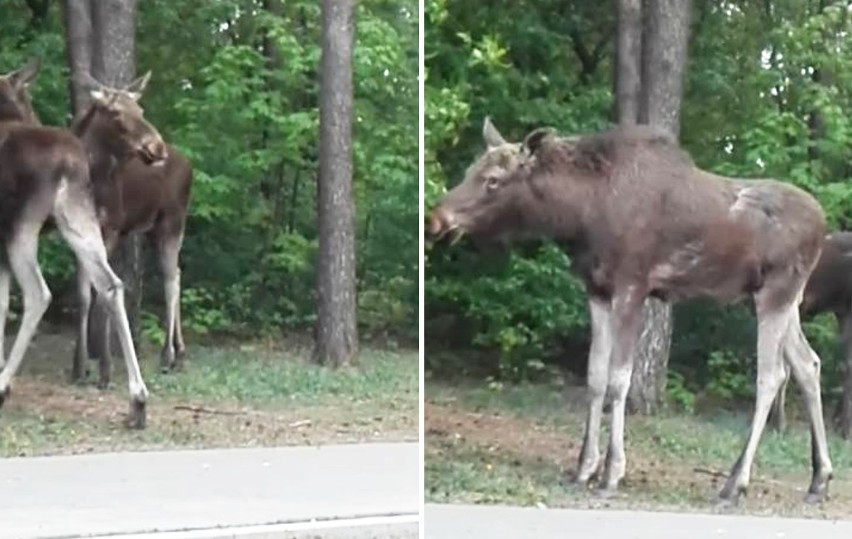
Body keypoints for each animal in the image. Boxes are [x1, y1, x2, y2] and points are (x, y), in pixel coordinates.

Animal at [430, 118, 828, 506]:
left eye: (493, 180)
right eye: (469, 170)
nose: (436, 219)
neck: (578, 216)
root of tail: (823, 226)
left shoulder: (632, 288)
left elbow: (619, 379)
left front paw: (612, 472)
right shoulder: (596, 291)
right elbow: (594, 375)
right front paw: (584, 466)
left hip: (776, 293)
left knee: (772, 375)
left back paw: (735, 483)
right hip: (779, 299)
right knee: (808, 363)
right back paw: (819, 478)